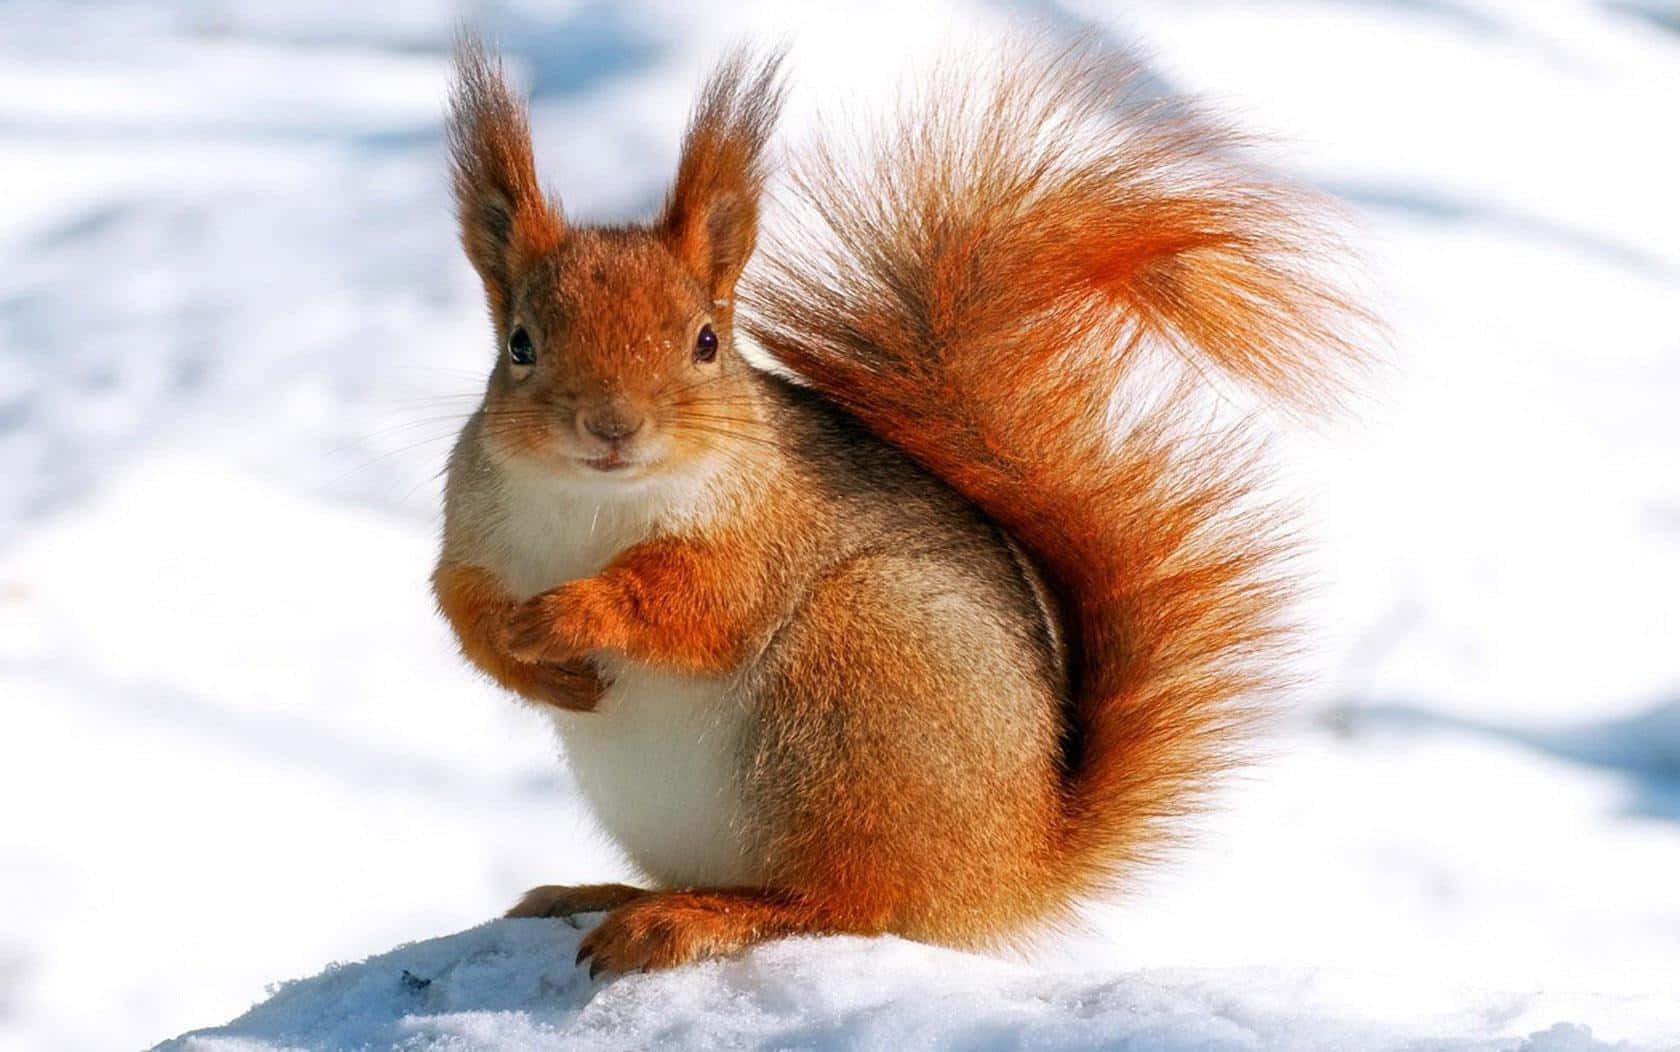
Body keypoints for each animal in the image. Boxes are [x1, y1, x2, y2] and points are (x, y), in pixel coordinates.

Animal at [431, 35, 1366, 976]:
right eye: (519, 344)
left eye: (706, 341)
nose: (611, 426)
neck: (594, 503)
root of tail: (1018, 863)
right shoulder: (471, 528)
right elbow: (459, 604)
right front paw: (521, 654)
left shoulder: (767, 527)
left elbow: (704, 600)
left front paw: (567, 614)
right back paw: (602, 893)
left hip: (859, 685)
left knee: (846, 901)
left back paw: (694, 917)